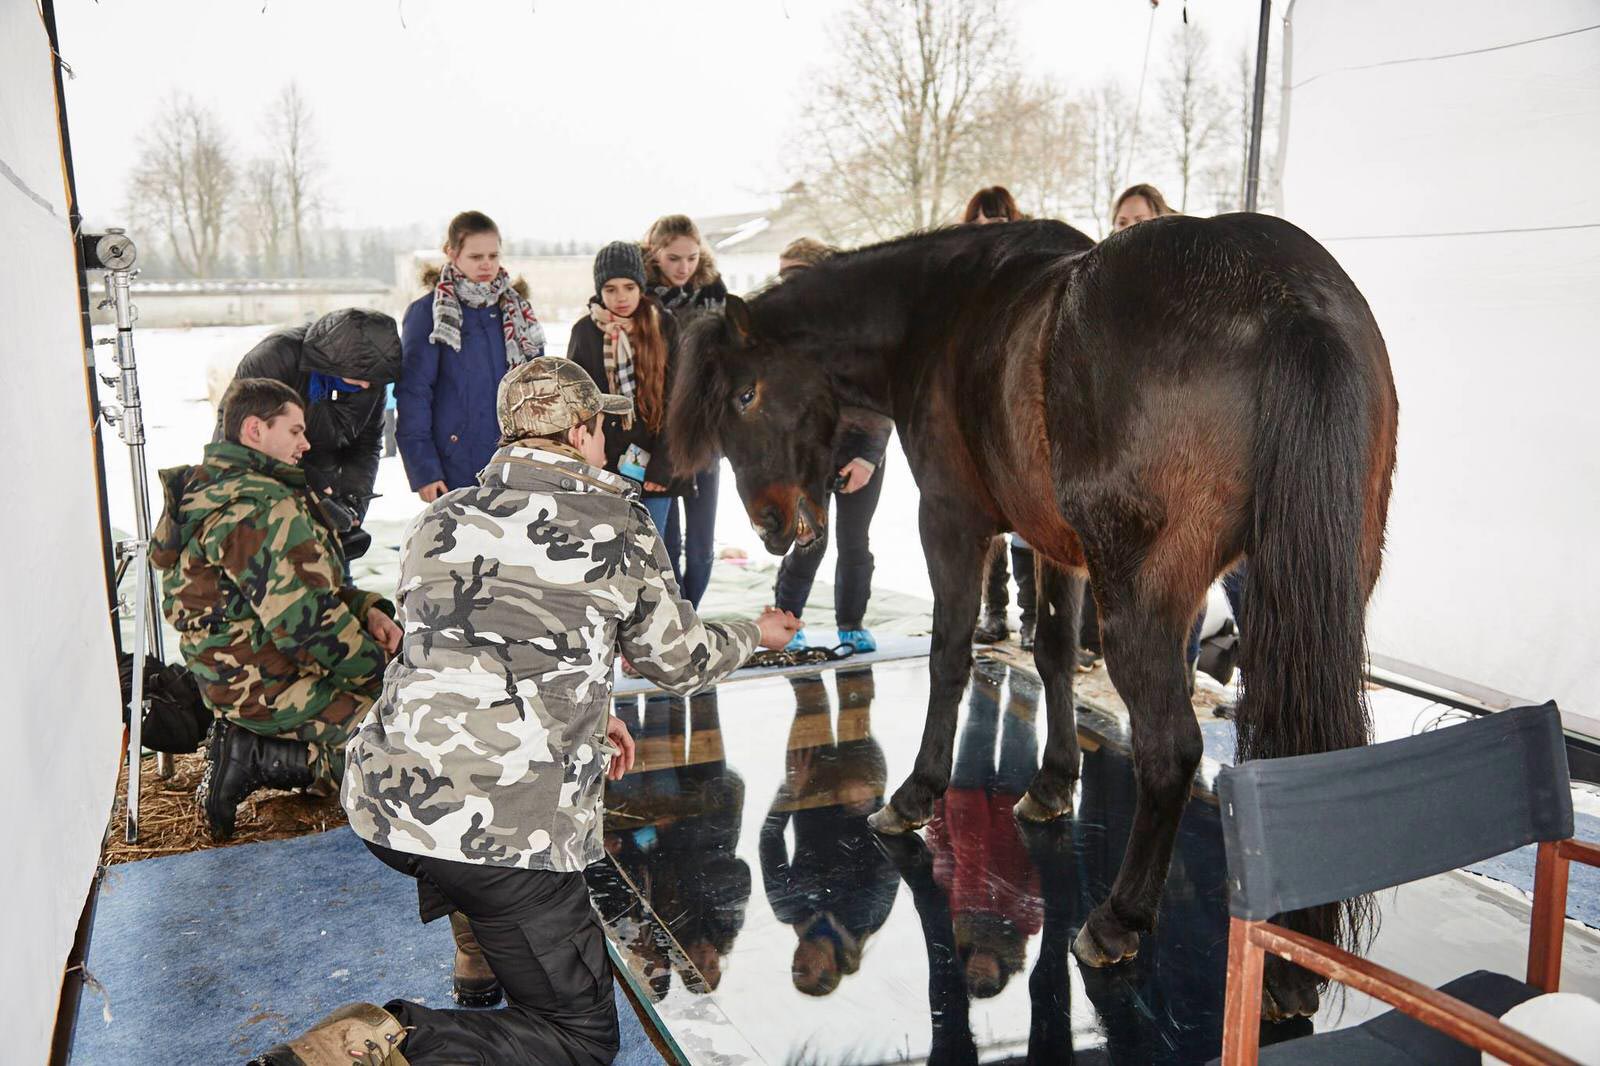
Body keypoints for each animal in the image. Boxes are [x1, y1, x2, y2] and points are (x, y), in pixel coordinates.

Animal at [669, 215, 1399, 1017]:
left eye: (745, 394)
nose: (770, 524)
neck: (937, 311)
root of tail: (1285, 300)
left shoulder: (952, 522)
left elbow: (951, 654)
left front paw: (916, 792)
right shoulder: (1055, 544)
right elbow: (1052, 654)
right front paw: (1052, 782)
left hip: (1144, 595)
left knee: (1170, 749)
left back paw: (1118, 919)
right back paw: (1296, 962)